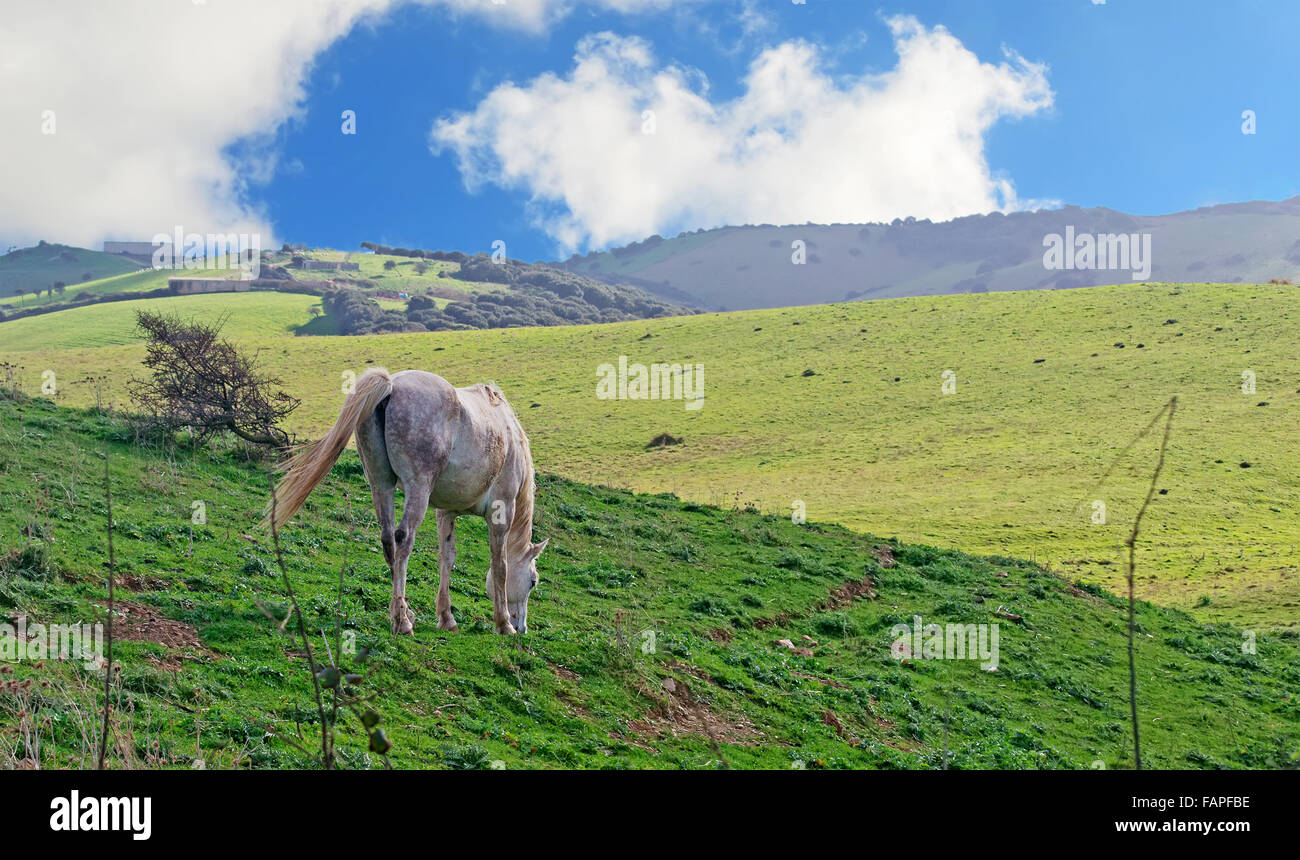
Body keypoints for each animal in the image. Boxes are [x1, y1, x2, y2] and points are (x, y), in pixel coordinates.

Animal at [264, 368, 547, 635]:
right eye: (533, 581)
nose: (522, 627)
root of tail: (391, 386)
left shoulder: (446, 512)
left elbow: (447, 558)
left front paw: (447, 618)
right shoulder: (502, 509)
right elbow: (500, 564)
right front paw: (503, 624)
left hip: (381, 485)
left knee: (388, 540)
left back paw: (401, 612)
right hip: (417, 490)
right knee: (403, 540)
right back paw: (402, 622)